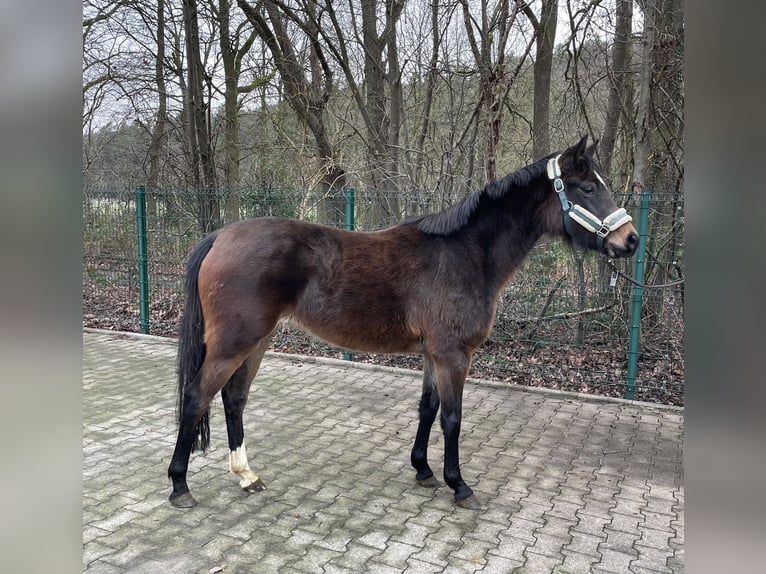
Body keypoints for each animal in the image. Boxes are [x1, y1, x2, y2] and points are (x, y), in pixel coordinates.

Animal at [170, 136, 640, 512]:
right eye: (588, 187)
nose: (631, 240)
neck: (465, 254)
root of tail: (220, 236)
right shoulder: (454, 355)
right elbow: (452, 418)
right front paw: (459, 485)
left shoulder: (434, 354)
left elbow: (428, 409)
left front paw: (424, 471)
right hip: (234, 343)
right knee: (196, 396)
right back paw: (179, 486)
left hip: (257, 340)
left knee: (234, 399)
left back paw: (246, 475)